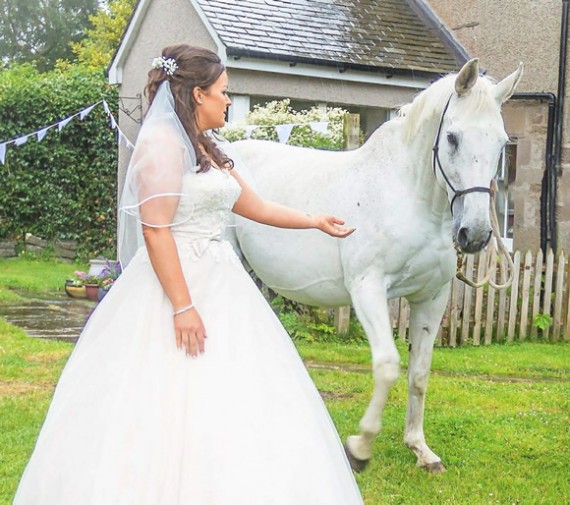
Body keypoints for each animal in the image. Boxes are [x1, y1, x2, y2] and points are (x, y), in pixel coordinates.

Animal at [224, 60, 520, 472]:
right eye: (452, 138)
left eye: (502, 143)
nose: (474, 234)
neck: (407, 195)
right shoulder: (367, 288)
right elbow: (387, 365)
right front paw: (359, 449)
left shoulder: (432, 298)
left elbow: (419, 373)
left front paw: (420, 449)